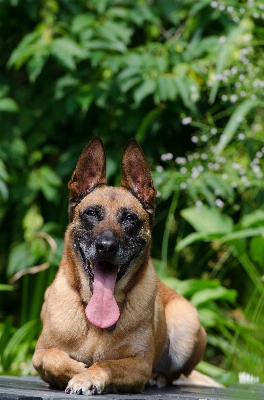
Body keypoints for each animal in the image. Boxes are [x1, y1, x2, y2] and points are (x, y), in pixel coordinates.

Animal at [32, 137, 208, 394]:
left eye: (129, 218)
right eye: (91, 213)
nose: (106, 246)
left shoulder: (139, 365)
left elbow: (107, 364)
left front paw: (88, 377)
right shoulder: (39, 354)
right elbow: (54, 358)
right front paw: (78, 372)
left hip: (185, 324)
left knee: (174, 374)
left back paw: (159, 377)